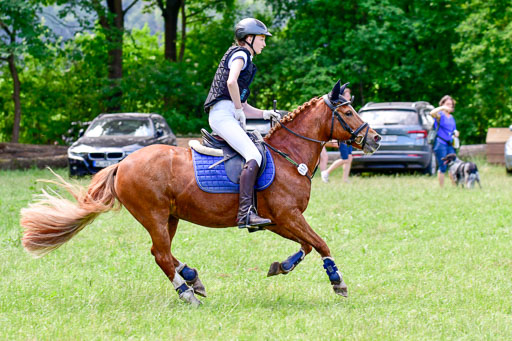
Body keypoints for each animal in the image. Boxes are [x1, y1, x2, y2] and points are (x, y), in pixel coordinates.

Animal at [20, 80, 380, 306]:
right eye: (348, 112)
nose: (375, 138)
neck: (288, 156)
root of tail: (122, 164)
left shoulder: (280, 220)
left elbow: (306, 246)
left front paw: (281, 266)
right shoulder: (288, 215)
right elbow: (321, 243)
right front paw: (338, 282)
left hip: (169, 217)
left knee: (160, 253)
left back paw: (192, 278)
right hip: (153, 214)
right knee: (161, 254)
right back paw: (187, 292)